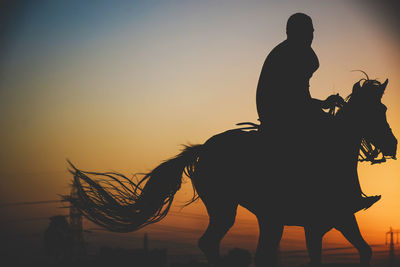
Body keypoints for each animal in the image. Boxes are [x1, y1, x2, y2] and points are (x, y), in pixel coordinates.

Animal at [67, 78, 396, 267]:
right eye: (377, 111)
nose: (393, 144)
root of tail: (202, 149)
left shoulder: (341, 219)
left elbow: (365, 251)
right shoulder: (315, 226)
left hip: (259, 217)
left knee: (248, 251)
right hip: (225, 207)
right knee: (210, 243)